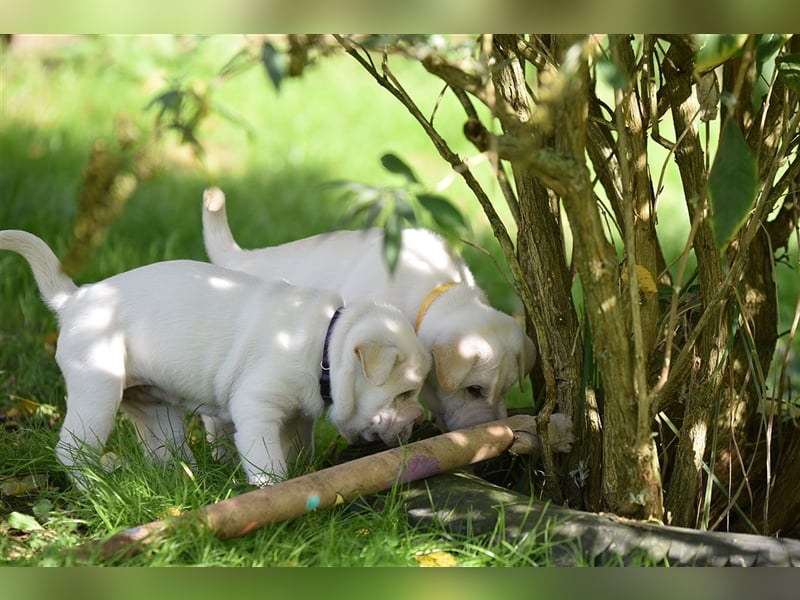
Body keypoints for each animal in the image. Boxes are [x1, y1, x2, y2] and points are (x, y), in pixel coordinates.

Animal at [1, 230, 432, 488]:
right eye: (405, 393)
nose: (418, 422)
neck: (325, 345)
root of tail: (74, 298)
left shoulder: (297, 415)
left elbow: (299, 447)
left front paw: (301, 477)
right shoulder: (257, 407)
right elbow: (267, 459)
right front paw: (272, 492)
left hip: (155, 410)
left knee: (164, 449)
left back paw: (181, 481)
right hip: (97, 391)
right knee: (71, 449)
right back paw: (93, 486)